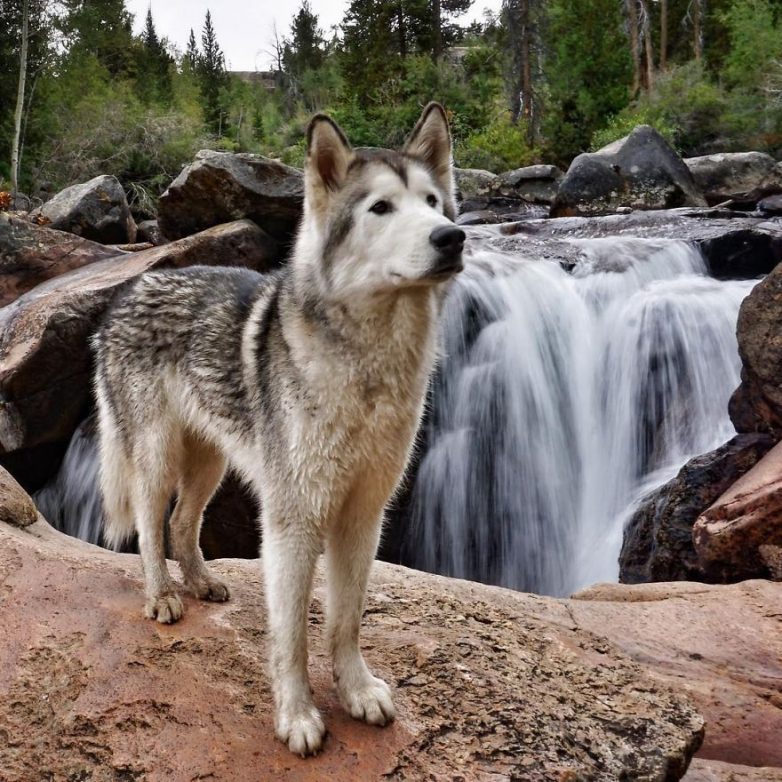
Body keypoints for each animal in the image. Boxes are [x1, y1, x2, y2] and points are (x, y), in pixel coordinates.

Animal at [93, 104, 466, 760]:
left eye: (432, 203)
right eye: (381, 208)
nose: (451, 237)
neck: (367, 369)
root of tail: (126, 293)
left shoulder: (362, 516)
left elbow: (346, 621)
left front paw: (357, 691)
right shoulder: (294, 521)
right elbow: (290, 635)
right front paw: (297, 718)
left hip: (211, 465)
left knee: (183, 524)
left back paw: (201, 583)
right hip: (159, 461)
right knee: (149, 528)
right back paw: (162, 596)